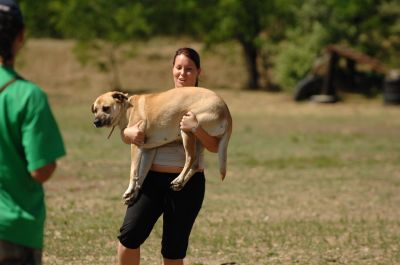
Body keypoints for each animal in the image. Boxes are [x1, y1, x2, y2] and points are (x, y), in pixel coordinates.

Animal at [90, 86, 231, 204]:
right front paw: (134, 194)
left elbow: (133, 171)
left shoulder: (136, 145)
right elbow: (141, 174)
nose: (95, 122)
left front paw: (130, 189)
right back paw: (180, 183)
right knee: (197, 164)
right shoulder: (148, 150)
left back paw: (178, 179)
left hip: (187, 127)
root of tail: (227, 111)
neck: (127, 108)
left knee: (191, 158)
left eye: (106, 108)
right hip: (199, 139)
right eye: (95, 110)